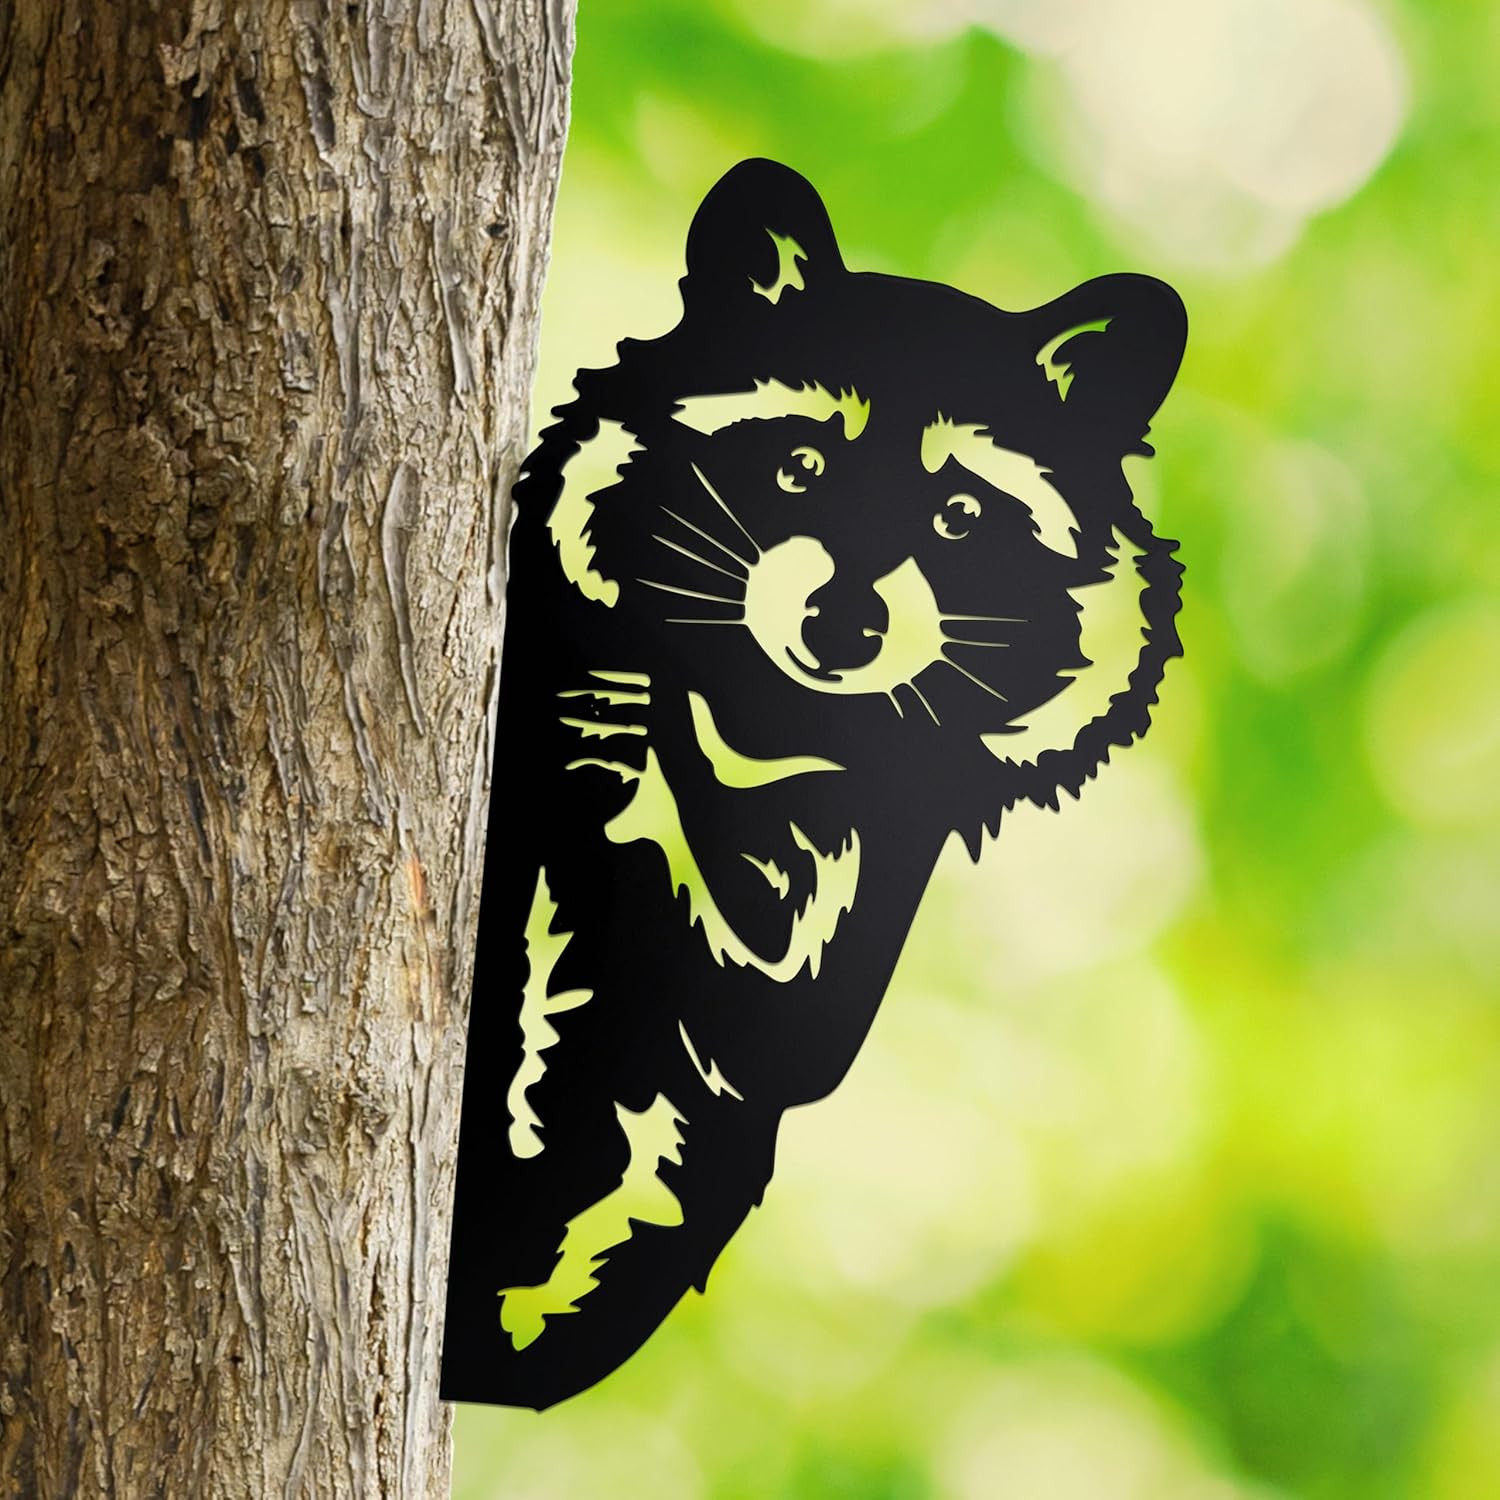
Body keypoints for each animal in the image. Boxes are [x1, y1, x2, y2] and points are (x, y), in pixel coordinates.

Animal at [440, 159, 1186, 1408]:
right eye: (801, 466)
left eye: (959, 514)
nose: (840, 627)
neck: (758, 708)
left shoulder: (884, 846)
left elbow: (777, 1021)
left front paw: (667, 782)